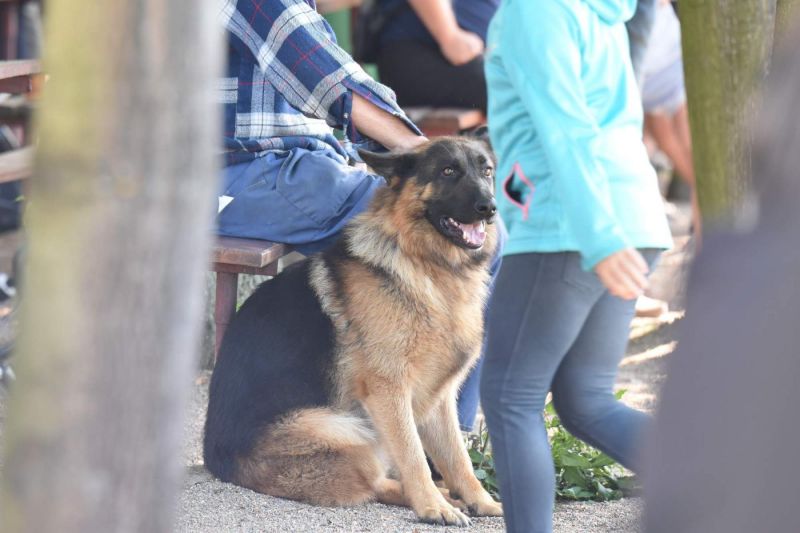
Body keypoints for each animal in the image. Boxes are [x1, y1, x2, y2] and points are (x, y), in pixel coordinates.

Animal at [208, 135, 506, 524]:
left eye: (486, 171)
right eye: (448, 171)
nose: (490, 208)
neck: (426, 266)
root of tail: (216, 460)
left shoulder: (440, 397)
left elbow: (458, 458)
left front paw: (480, 500)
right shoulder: (388, 390)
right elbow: (413, 456)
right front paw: (432, 506)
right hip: (342, 428)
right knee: (375, 483)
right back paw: (438, 499)